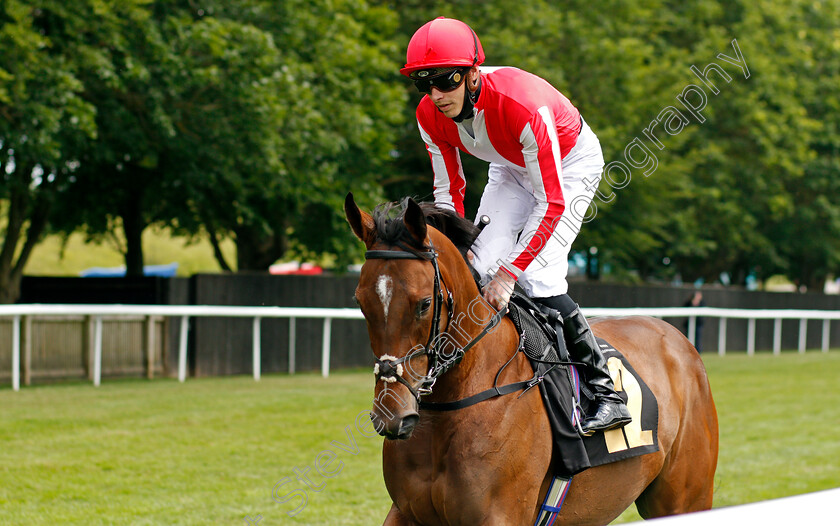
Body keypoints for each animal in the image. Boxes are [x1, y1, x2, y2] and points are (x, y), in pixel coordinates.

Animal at [344, 195, 720, 526]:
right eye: (360, 301)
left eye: (423, 304)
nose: (391, 415)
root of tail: (675, 336)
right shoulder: (406, 511)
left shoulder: (501, 515)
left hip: (685, 499)